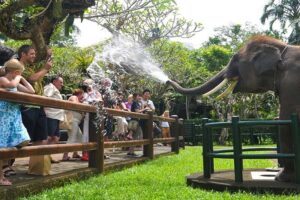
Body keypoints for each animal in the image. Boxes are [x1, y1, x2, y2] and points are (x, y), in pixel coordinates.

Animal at [168, 35, 300, 182]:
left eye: (235, 60)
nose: (168, 81)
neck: (282, 48)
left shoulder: (291, 84)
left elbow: (286, 120)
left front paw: (281, 178)